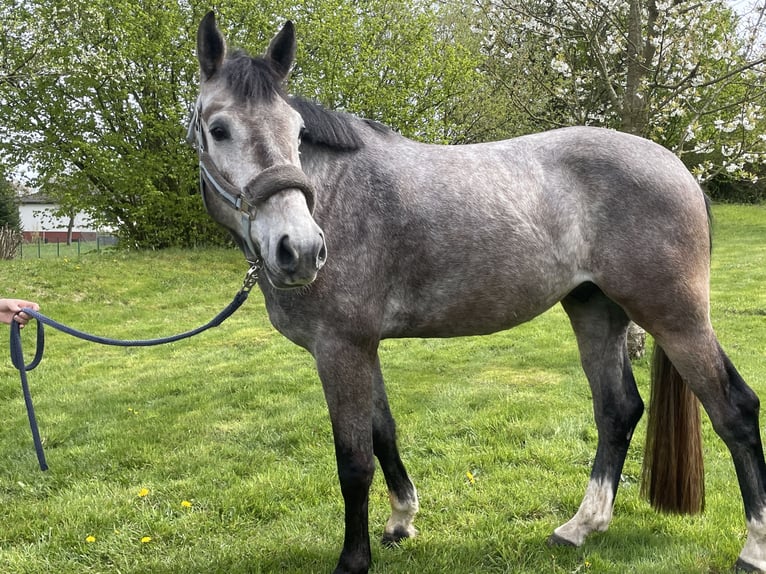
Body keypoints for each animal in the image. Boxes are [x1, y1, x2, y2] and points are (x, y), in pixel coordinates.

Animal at [189, 12, 766, 574]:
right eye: (219, 129)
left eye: (297, 131)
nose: (302, 249)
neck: (335, 195)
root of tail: (678, 168)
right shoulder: (362, 348)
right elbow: (383, 433)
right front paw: (401, 522)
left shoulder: (339, 349)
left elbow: (354, 462)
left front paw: (354, 562)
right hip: (595, 310)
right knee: (617, 411)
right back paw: (580, 527)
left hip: (675, 317)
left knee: (734, 409)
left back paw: (752, 549)